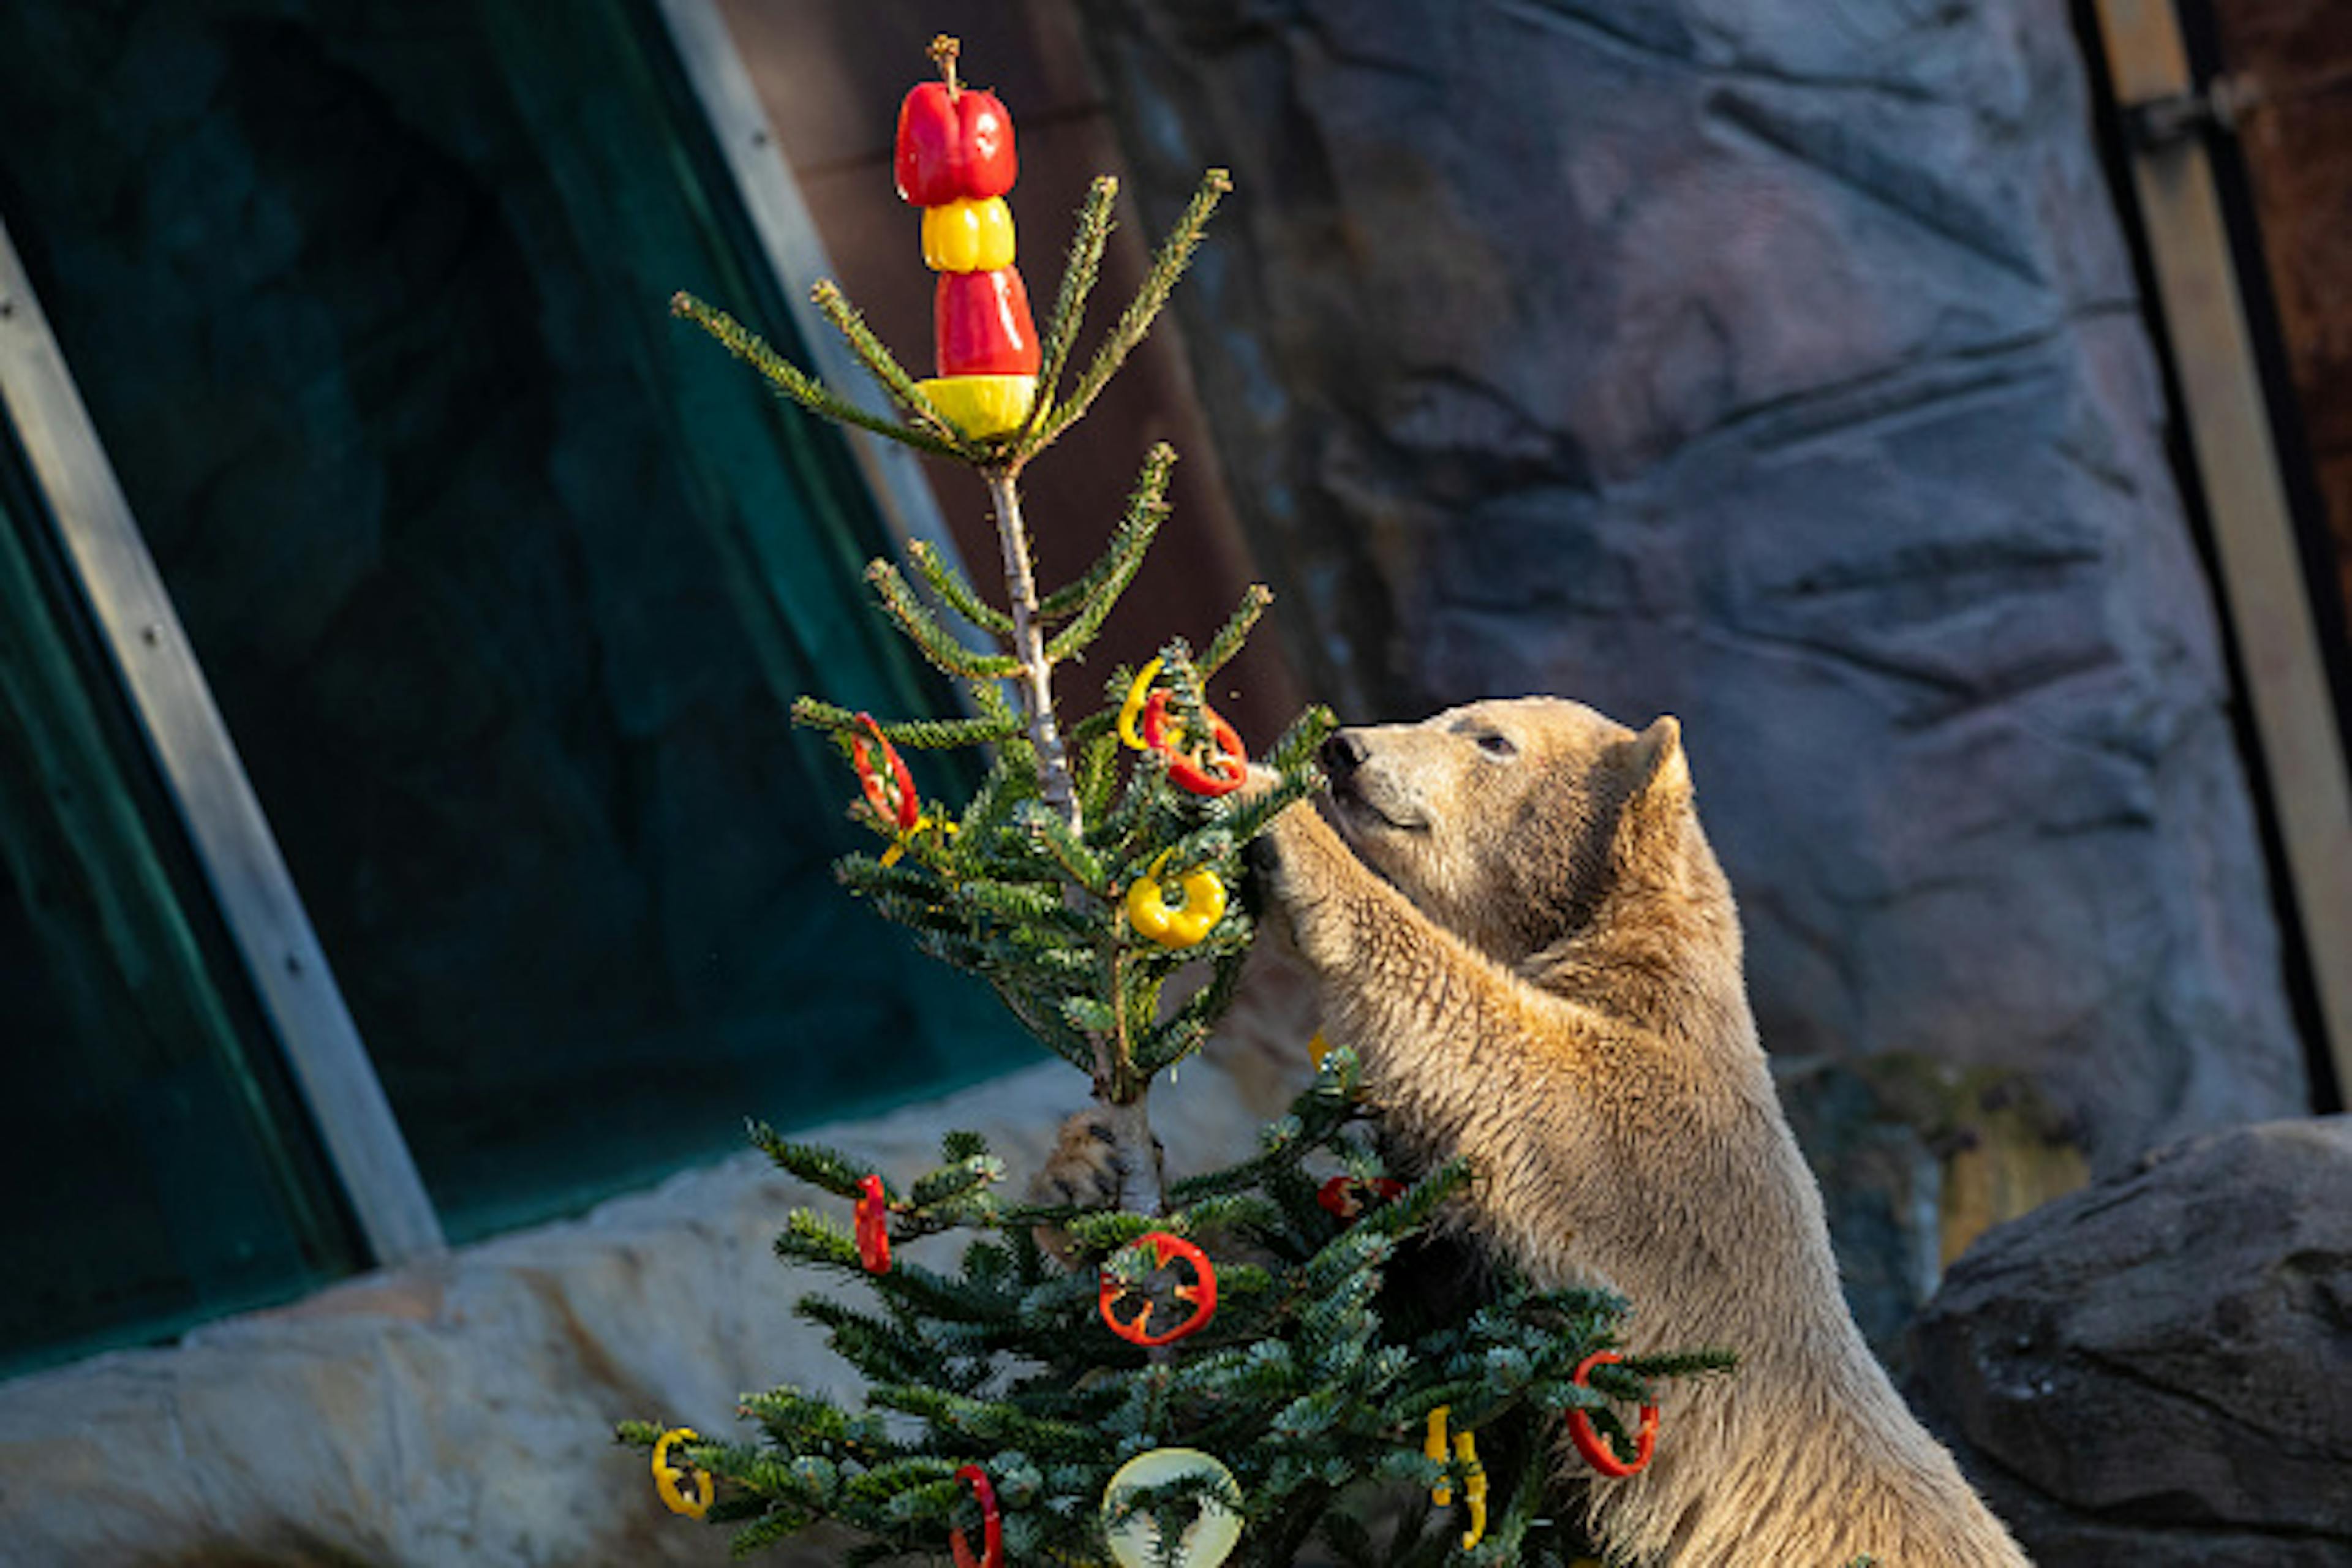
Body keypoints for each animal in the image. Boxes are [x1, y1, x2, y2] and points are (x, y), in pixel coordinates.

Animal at [1243, 697, 2031, 1567]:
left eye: (1491, 738)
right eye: (1443, 715)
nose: (1345, 749)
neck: (1640, 964)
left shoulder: (1643, 1145)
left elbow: (1487, 1040)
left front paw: (1265, 800)